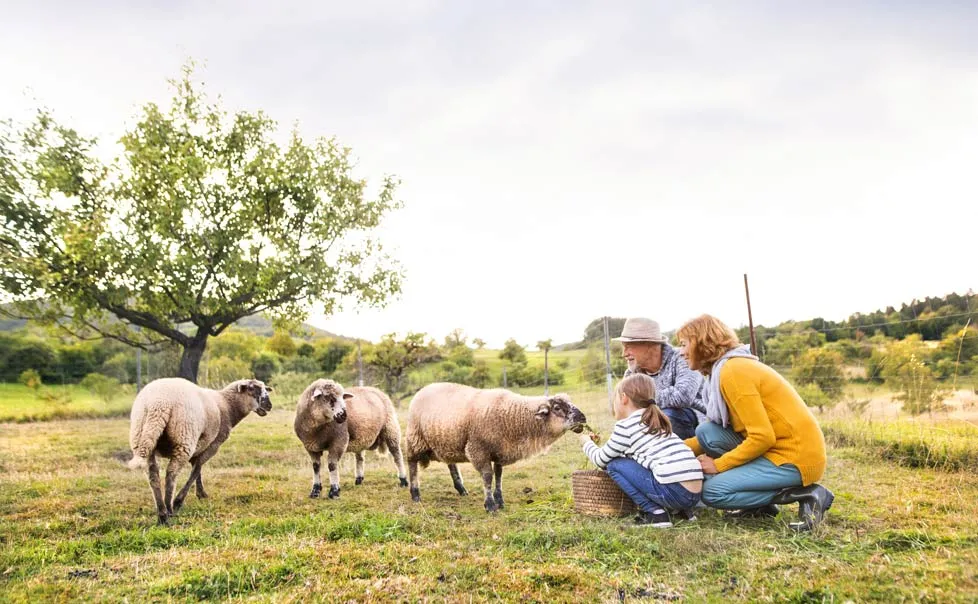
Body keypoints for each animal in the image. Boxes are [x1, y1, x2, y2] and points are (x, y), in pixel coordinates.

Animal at [127, 377, 273, 525]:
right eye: (252, 389)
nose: (269, 406)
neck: (227, 406)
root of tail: (157, 404)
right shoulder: (213, 445)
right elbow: (196, 470)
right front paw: (181, 500)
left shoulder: (200, 446)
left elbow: (197, 469)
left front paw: (200, 494)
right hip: (184, 439)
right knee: (171, 474)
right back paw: (170, 509)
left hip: (143, 438)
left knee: (153, 476)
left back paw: (162, 514)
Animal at [405, 382, 587, 512]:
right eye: (557, 408)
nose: (583, 418)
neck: (513, 416)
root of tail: (424, 388)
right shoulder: (478, 449)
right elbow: (487, 476)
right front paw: (490, 505)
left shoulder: (500, 451)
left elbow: (498, 475)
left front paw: (499, 500)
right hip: (415, 438)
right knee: (412, 463)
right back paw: (415, 493)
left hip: (447, 441)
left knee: (451, 463)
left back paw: (461, 489)